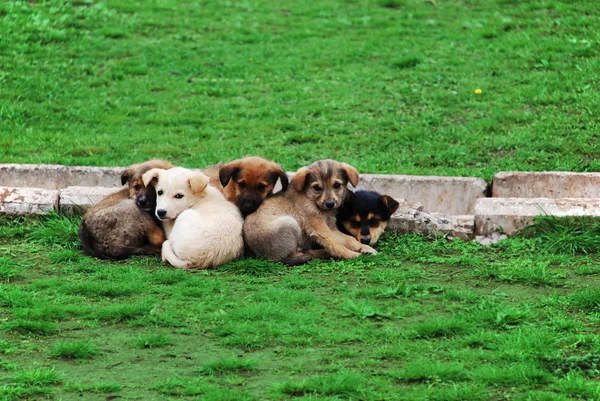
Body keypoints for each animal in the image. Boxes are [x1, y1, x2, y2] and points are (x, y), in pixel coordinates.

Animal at [243, 158, 376, 264]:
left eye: (337, 185)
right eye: (316, 188)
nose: (330, 204)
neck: (310, 197)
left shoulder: (331, 228)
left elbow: (349, 239)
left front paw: (364, 247)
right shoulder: (318, 225)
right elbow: (335, 243)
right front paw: (351, 255)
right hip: (290, 223)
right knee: (294, 256)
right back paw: (322, 253)